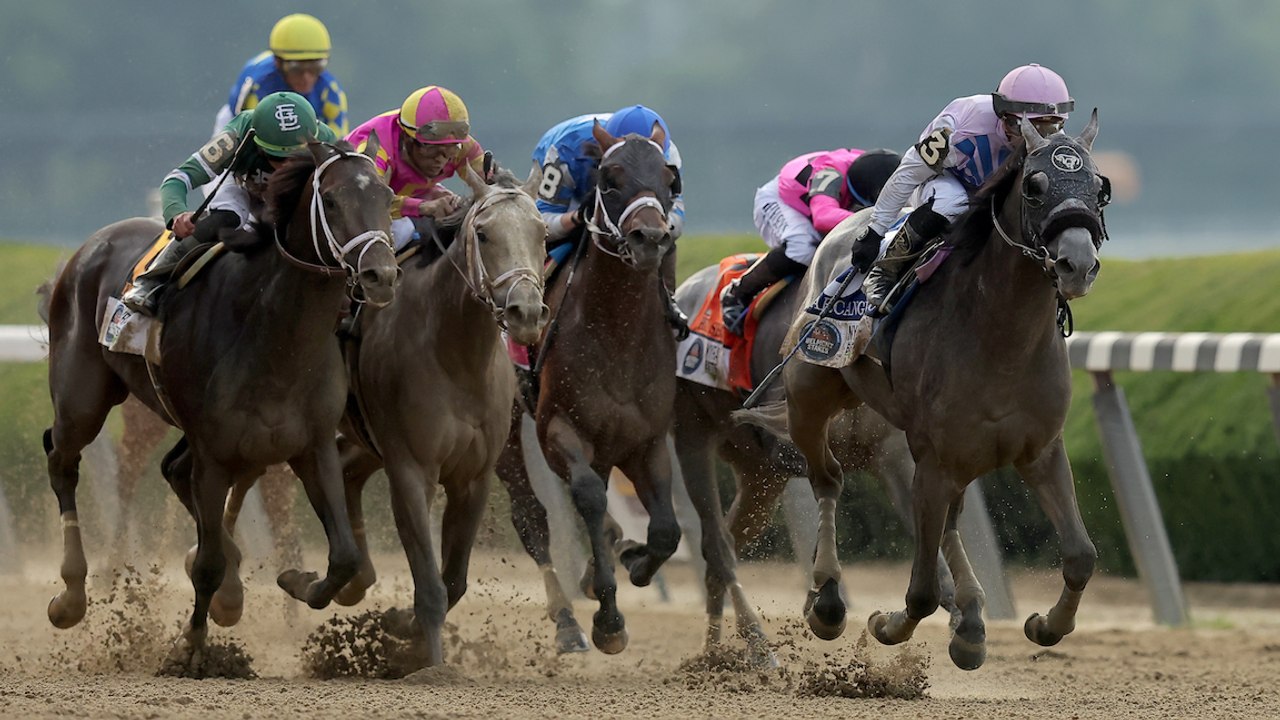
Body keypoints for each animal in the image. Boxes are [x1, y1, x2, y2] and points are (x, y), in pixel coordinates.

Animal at [42, 139, 401, 672]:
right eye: (332, 201)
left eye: (386, 195)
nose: (381, 275)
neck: (276, 334)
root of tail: (94, 243)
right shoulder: (213, 454)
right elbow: (207, 566)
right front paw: (190, 648)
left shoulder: (311, 446)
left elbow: (344, 558)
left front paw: (293, 579)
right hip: (82, 398)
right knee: (62, 460)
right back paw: (71, 595)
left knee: (172, 471)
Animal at [327, 165, 549, 668]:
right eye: (483, 233)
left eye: (542, 232)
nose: (525, 312)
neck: (456, 356)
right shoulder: (411, 469)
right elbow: (430, 587)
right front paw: (431, 665)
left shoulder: (473, 477)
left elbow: (454, 582)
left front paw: (398, 627)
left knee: (347, 472)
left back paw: (347, 580)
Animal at [493, 122, 686, 655]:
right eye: (611, 178)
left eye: (670, 180)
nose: (650, 238)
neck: (616, 330)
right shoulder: (560, 429)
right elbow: (588, 498)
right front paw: (608, 620)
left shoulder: (647, 441)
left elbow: (666, 530)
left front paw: (637, 561)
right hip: (507, 434)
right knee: (532, 519)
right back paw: (568, 623)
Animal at [739, 114, 1105, 670]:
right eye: (1036, 187)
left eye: (1100, 188)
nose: (1077, 264)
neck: (1002, 337)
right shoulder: (934, 457)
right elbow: (922, 592)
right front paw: (886, 625)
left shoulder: (1038, 450)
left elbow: (1081, 555)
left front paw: (1045, 624)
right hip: (810, 394)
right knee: (827, 478)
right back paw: (827, 599)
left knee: (945, 520)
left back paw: (970, 620)